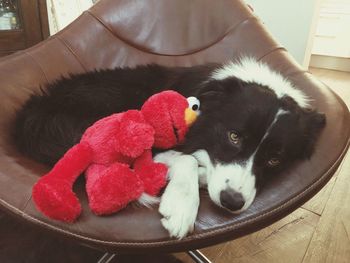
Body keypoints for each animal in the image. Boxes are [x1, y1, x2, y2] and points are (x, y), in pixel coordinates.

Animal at [13, 57, 326, 239]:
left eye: (275, 160)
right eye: (234, 136)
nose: (231, 201)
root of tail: (31, 112)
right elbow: (186, 160)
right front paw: (180, 207)